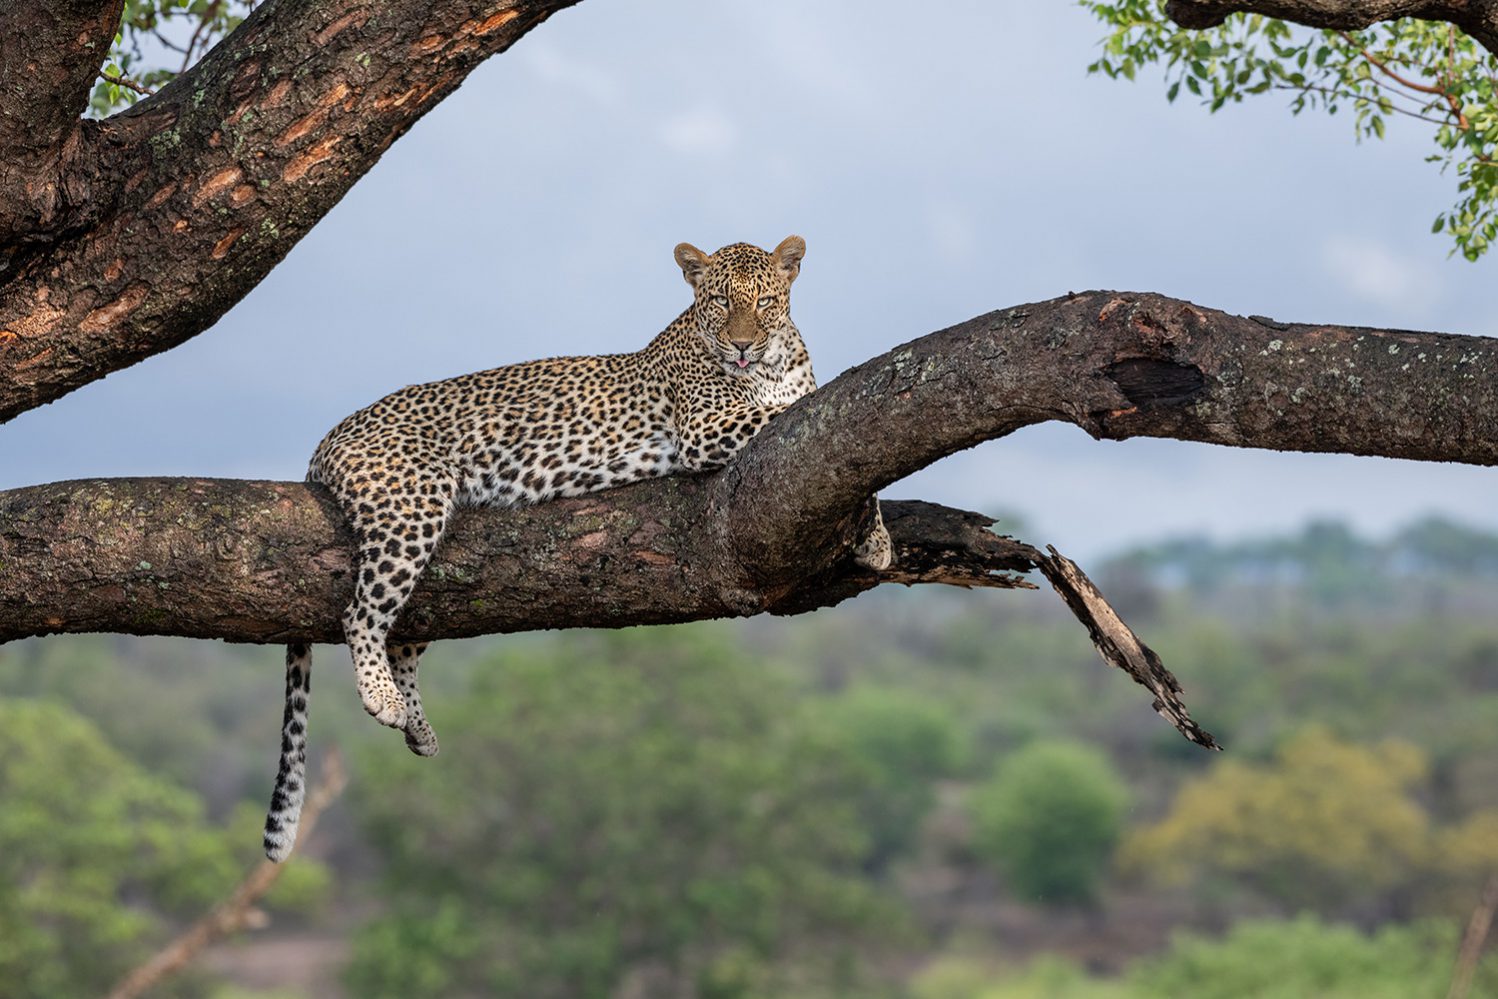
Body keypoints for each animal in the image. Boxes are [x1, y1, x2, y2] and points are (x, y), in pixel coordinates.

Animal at [259, 235, 892, 862]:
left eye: (764, 302)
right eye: (719, 301)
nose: (741, 346)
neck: (772, 363)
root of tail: (328, 437)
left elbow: (850, 458)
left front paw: (878, 540)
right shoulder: (704, 428)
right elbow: (785, 412)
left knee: (403, 638)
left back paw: (418, 728)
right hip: (411, 506)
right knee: (361, 614)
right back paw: (381, 698)